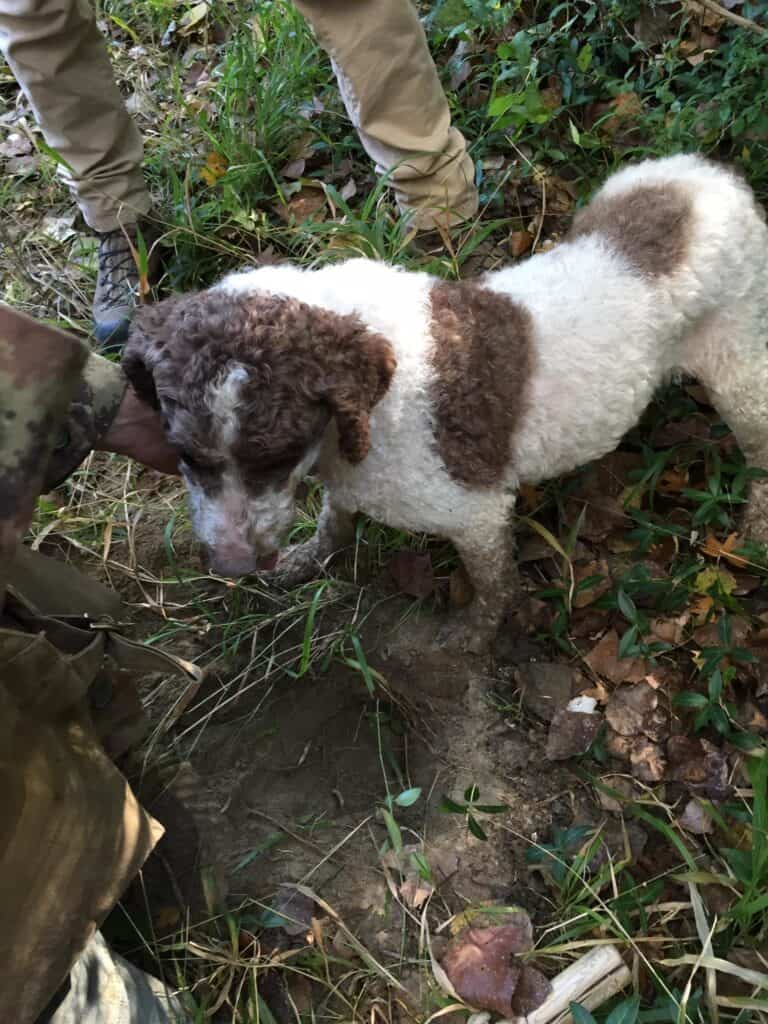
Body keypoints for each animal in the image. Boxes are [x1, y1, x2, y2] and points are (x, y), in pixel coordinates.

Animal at [123, 155, 768, 651]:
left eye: (275, 458)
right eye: (187, 457)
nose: (232, 567)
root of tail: (710, 175)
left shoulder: (476, 514)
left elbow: (494, 586)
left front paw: (475, 635)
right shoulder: (348, 481)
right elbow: (335, 520)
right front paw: (309, 559)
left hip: (737, 365)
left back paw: (755, 528)